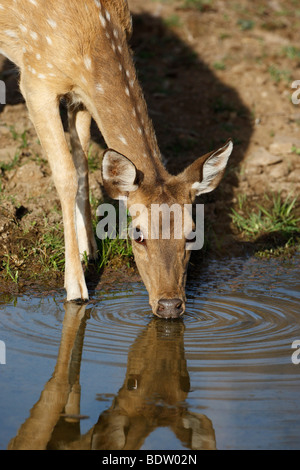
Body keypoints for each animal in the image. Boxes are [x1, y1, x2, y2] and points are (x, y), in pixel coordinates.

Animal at [0, 0, 233, 320]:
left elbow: (83, 163)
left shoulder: (80, 96)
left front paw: (90, 250)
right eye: (137, 234)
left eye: (191, 234)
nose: (170, 305)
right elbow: (65, 175)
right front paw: (76, 287)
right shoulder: (36, 79)